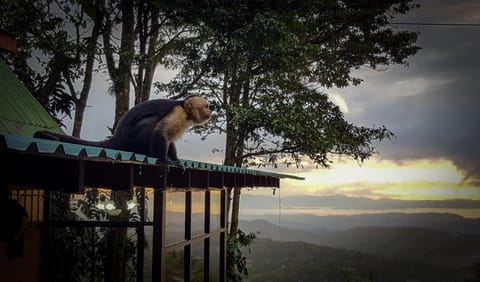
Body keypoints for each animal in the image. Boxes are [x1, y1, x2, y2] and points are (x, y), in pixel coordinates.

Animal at [34, 96, 211, 166]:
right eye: (207, 106)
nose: (212, 110)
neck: (185, 110)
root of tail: (118, 136)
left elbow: (170, 139)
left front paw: (176, 159)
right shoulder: (176, 113)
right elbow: (160, 133)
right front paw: (163, 160)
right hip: (134, 137)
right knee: (150, 122)